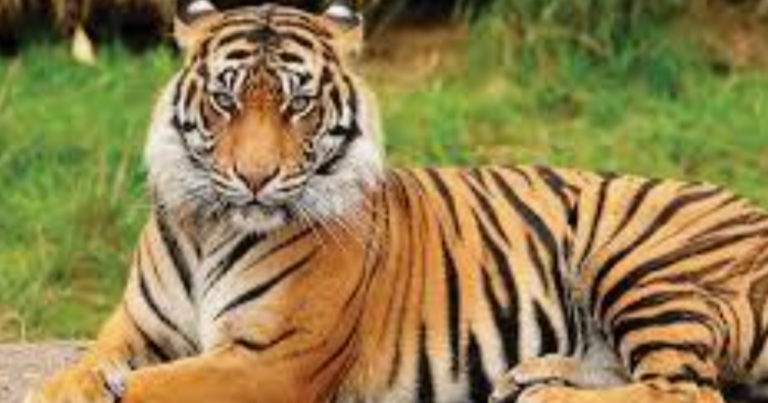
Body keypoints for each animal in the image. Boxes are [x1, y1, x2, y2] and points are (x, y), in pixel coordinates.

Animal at [22, 1, 768, 403]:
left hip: (636, 259)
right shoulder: (134, 328)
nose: (255, 178)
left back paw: (545, 392)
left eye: (297, 102)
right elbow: (74, 374)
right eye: (226, 100)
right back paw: (530, 375)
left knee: (687, 388)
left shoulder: (271, 360)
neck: (211, 226)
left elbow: (148, 389)